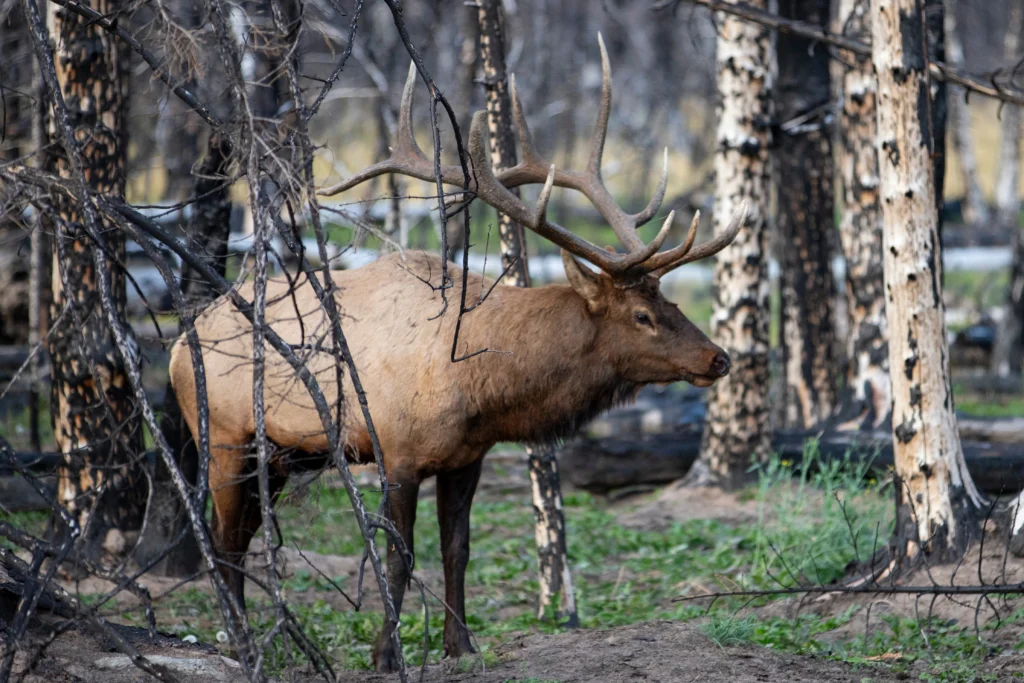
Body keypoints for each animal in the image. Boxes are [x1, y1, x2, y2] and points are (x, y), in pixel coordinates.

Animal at [168, 37, 746, 672]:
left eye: (668, 299)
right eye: (641, 315)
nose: (718, 358)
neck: (479, 381)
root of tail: (177, 344)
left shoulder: (468, 457)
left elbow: (457, 549)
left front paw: (461, 644)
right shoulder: (395, 453)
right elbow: (398, 557)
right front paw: (388, 654)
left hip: (275, 453)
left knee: (239, 536)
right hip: (224, 435)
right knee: (223, 540)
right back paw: (242, 643)